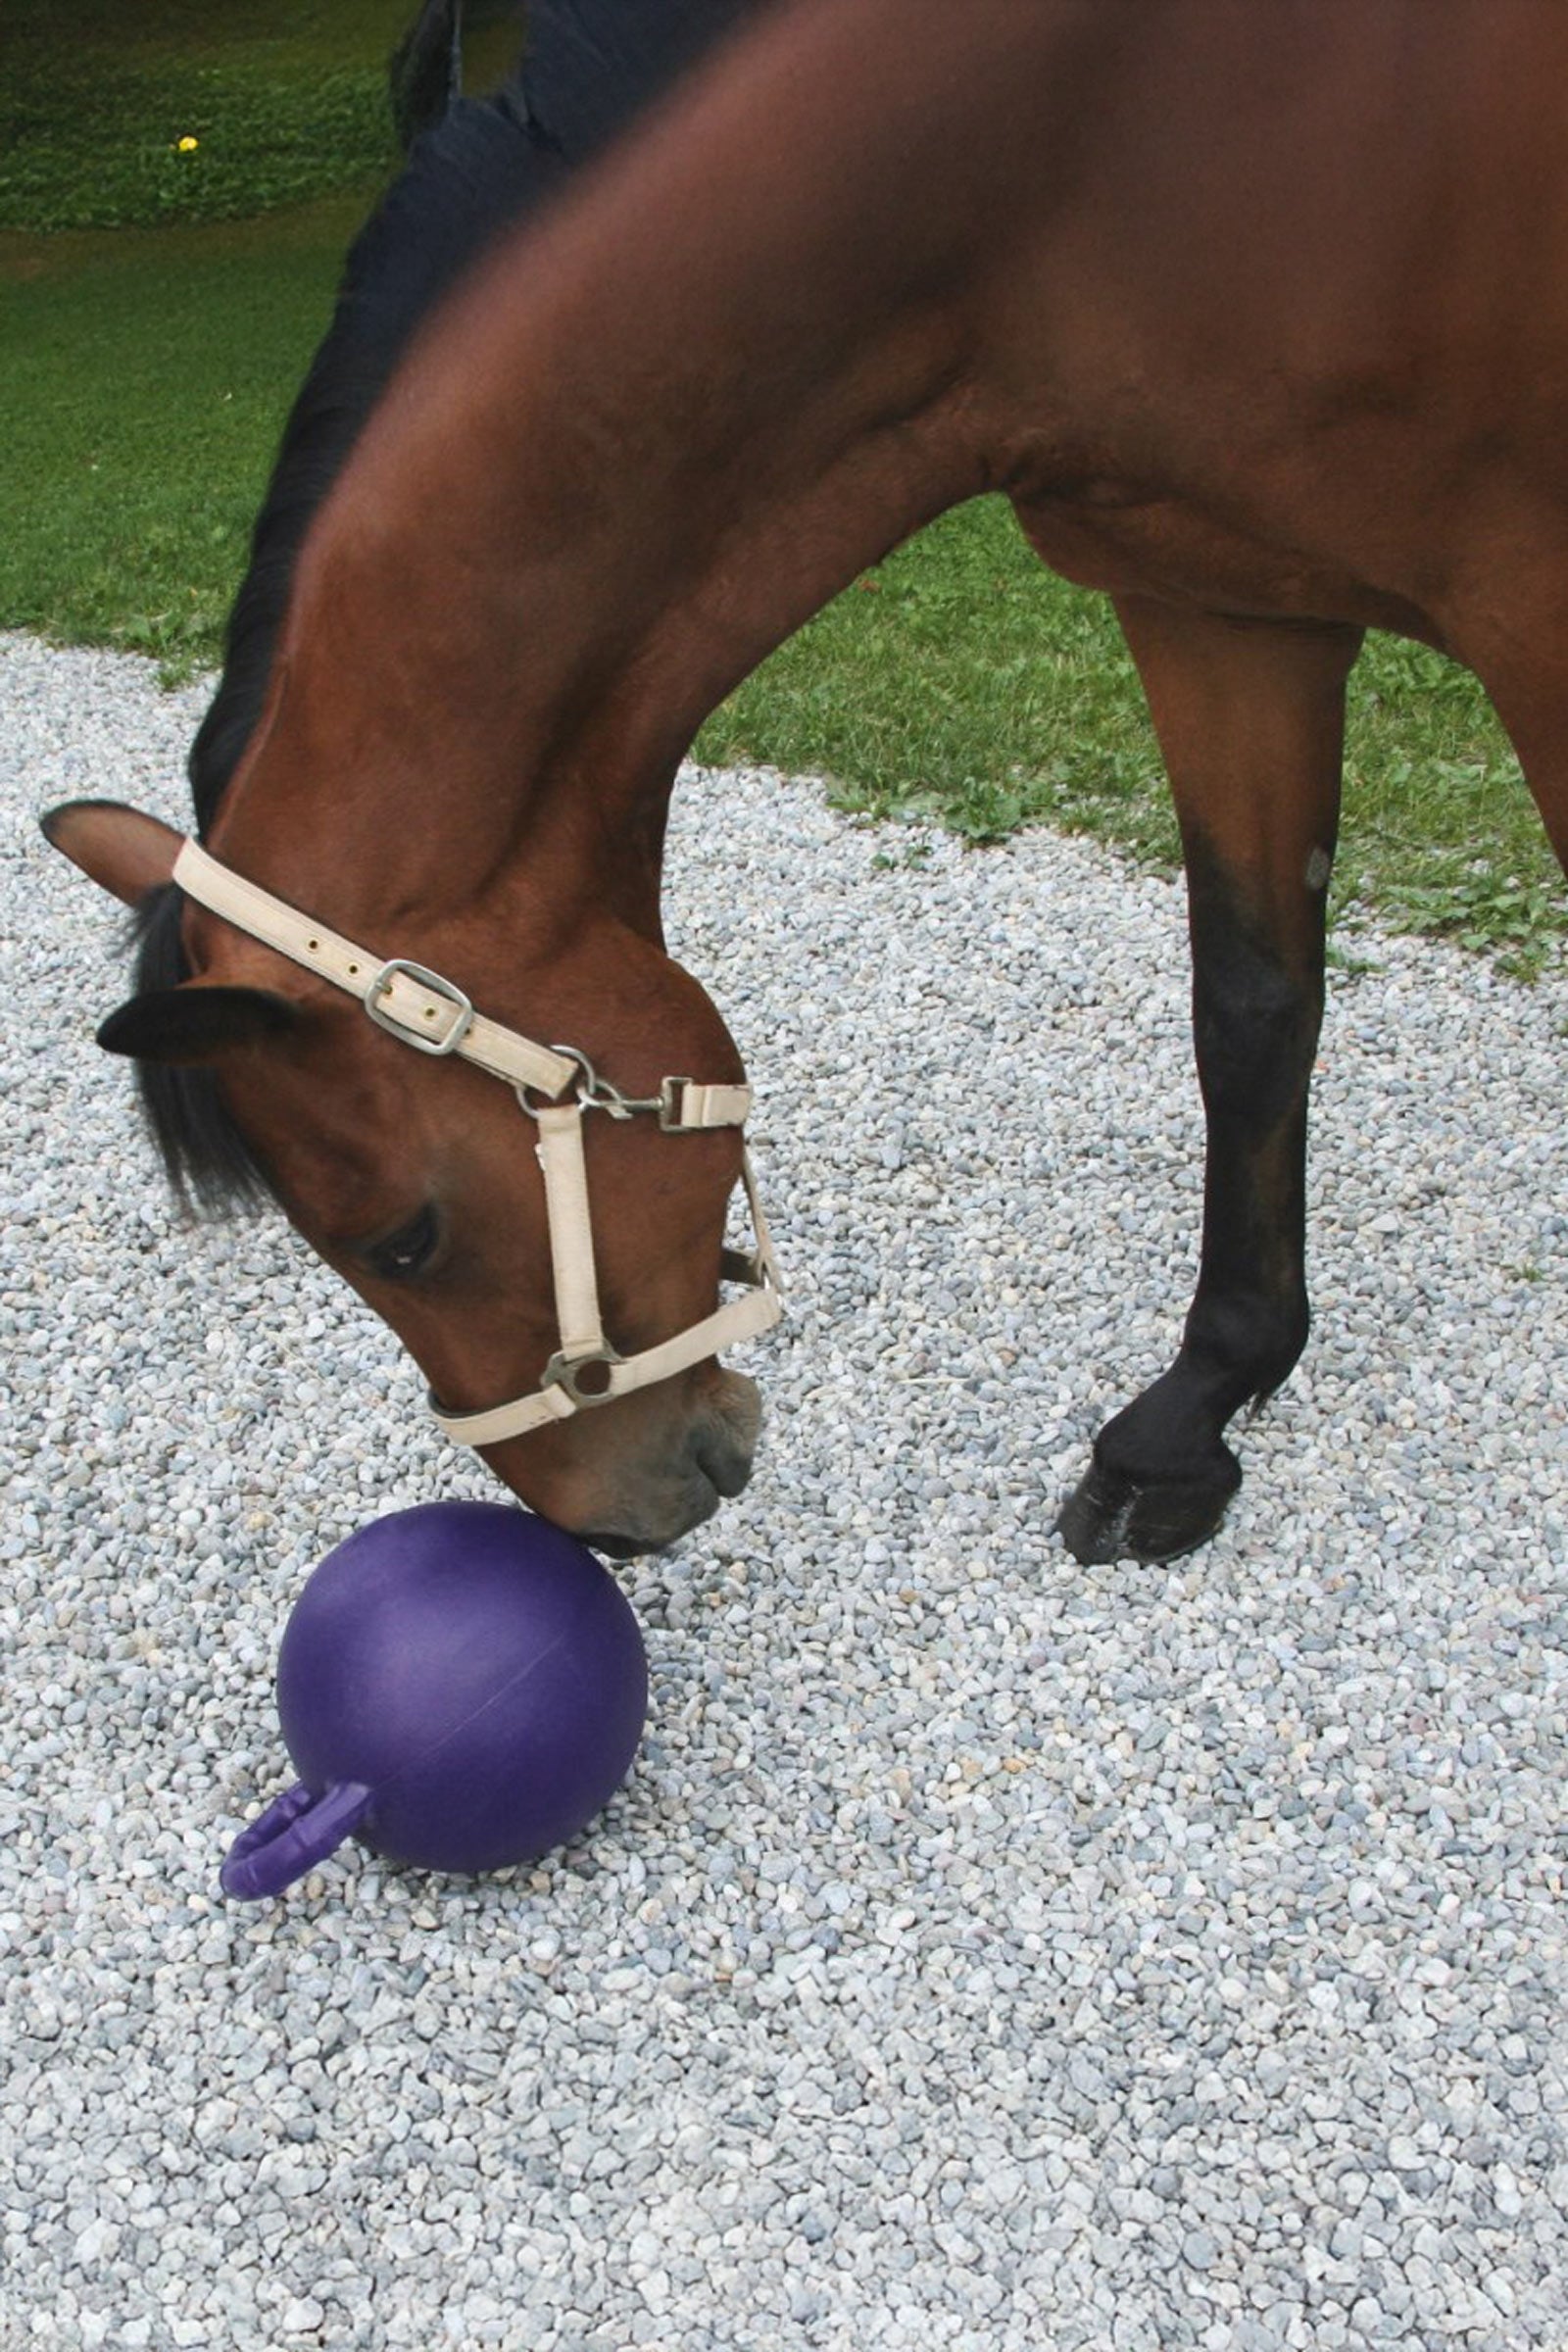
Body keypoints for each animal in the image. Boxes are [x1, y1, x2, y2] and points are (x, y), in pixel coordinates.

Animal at [44, 0, 1568, 1564]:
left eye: (401, 1239)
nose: (605, 1527)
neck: (1095, 149)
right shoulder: (1218, 597)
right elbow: (1253, 1007)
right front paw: (1197, 1414)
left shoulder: (1532, 610)